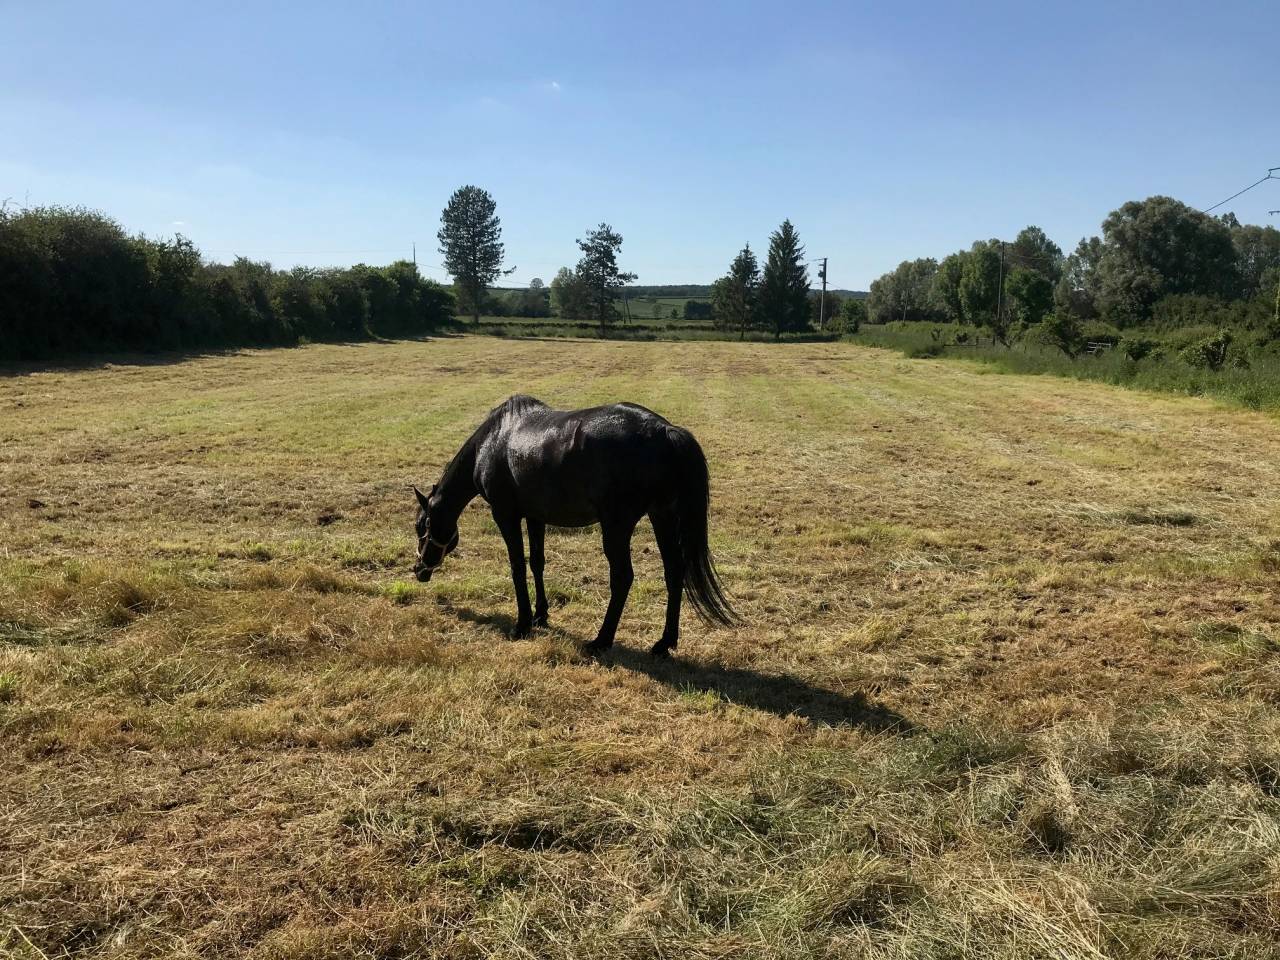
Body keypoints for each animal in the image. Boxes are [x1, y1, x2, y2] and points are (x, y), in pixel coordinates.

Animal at [412, 395, 737, 656]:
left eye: (421, 526)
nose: (418, 570)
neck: (493, 441)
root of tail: (665, 432)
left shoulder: (506, 515)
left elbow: (517, 566)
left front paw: (522, 624)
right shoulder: (535, 516)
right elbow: (537, 563)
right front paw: (540, 615)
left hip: (617, 526)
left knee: (623, 577)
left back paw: (602, 641)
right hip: (662, 517)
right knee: (674, 572)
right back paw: (664, 643)